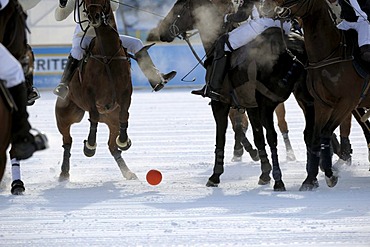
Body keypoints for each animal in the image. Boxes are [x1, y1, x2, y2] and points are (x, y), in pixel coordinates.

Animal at [54, 0, 137, 181]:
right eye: (84, 2)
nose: (94, 17)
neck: (107, 56)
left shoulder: (126, 93)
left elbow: (124, 114)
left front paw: (124, 141)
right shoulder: (89, 95)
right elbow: (93, 115)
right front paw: (90, 146)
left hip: (111, 120)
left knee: (112, 146)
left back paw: (128, 171)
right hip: (64, 116)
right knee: (67, 141)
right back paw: (64, 172)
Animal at [158, 0, 314, 191]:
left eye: (178, 7)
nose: (161, 32)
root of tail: (293, 49)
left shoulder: (220, 104)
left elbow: (221, 137)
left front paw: (215, 176)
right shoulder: (251, 106)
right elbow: (258, 138)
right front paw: (264, 174)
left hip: (268, 103)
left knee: (274, 136)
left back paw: (280, 180)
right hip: (306, 98)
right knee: (310, 131)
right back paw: (312, 177)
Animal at [260, 0, 370, 190]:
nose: (268, 8)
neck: (329, 54)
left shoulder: (346, 102)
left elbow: (325, 132)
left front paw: (330, 174)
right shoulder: (321, 104)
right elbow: (315, 136)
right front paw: (310, 179)